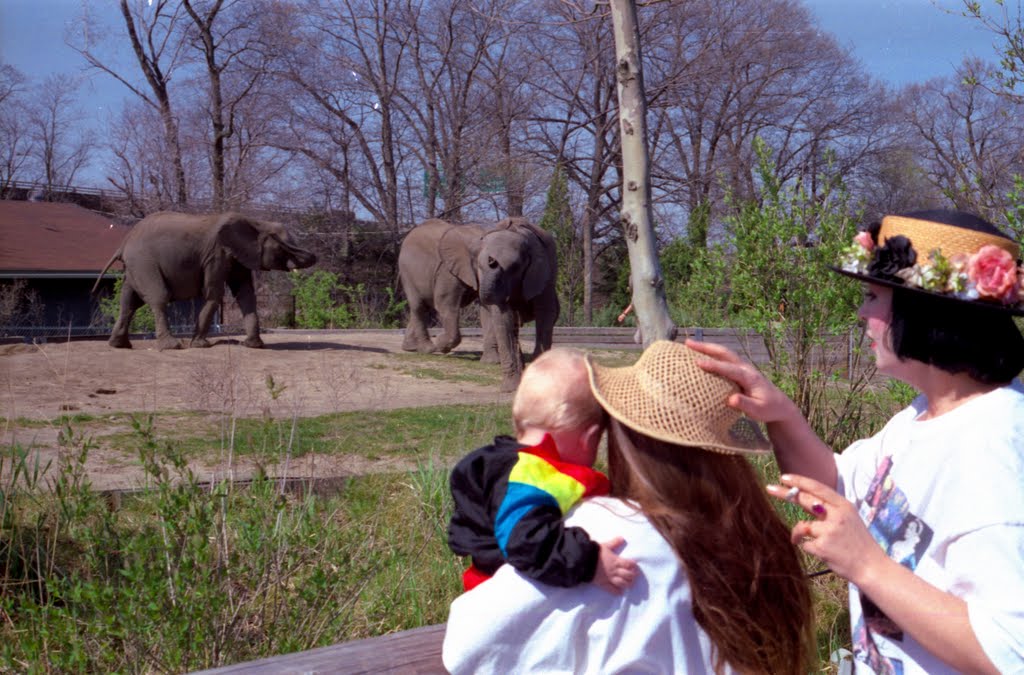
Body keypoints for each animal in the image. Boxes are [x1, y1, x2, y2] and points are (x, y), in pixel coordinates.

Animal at [93, 211, 315, 350]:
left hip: (135, 267)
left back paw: (119, 345)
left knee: (128, 301)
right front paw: (199, 345)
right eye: (280, 248)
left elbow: (245, 294)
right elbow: (214, 294)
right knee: (158, 298)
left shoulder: (237, 256)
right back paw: (172, 347)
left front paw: (253, 346)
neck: (254, 222)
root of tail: (124, 242)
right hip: (144, 263)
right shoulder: (216, 254)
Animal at [399, 219, 561, 393]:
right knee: (419, 306)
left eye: (516, 266)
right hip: (407, 270)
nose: (492, 260)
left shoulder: (543, 270)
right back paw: (427, 348)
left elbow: (543, 312)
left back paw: (412, 347)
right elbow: (451, 304)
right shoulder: (448, 270)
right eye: (477, 263)